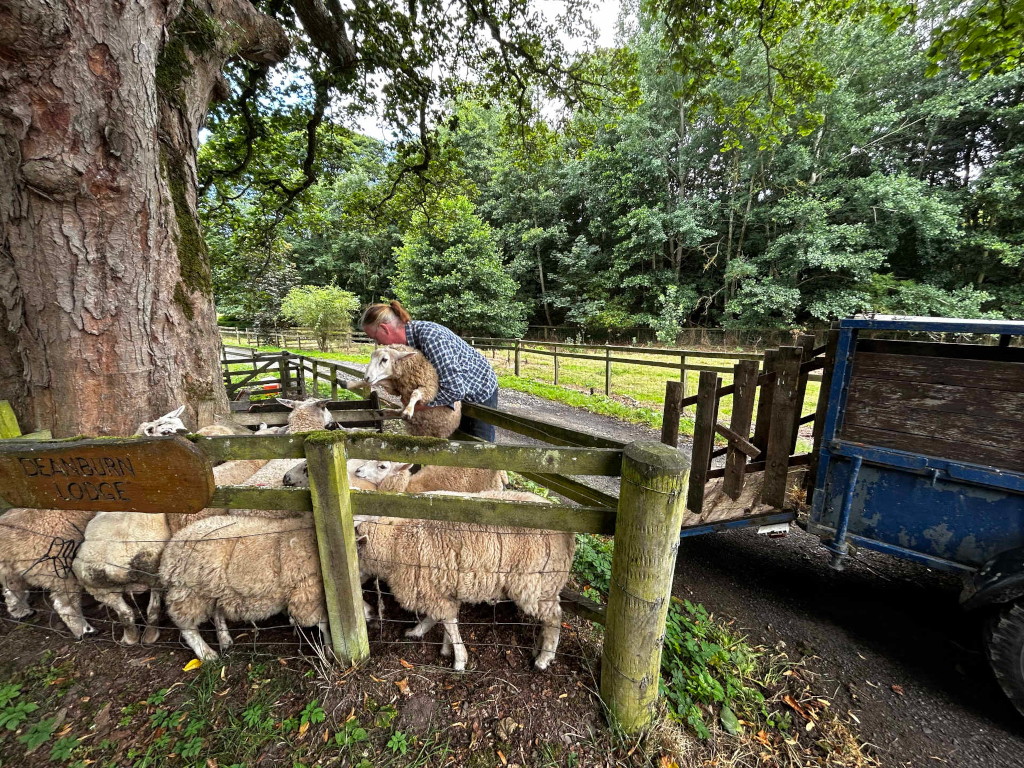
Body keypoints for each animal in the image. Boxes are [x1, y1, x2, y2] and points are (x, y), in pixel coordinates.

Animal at [354, 490, 574, 671]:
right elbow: (442, 619)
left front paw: (459, 659)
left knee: (554, 617)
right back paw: (539, 649)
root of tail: (568, 535)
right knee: (549, 618)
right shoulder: (438, 587)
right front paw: (430, 638)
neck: (395, 541)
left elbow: (448, 621)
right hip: (546, 586)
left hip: (535, 584)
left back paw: (544, 660)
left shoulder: (429, 590)